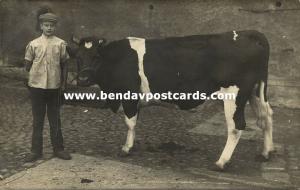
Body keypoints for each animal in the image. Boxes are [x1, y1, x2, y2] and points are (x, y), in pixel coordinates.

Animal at [68, 30, 274, 170]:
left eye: (96, 57)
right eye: (78, 57)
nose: (83, 79)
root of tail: (248, 33)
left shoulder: (129, 96)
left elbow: (130, 123)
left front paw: (126, 148)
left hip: (234, 95)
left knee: (236, 126)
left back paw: (221, 162)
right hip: (256, 91)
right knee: (266, 117)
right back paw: (266, 153)